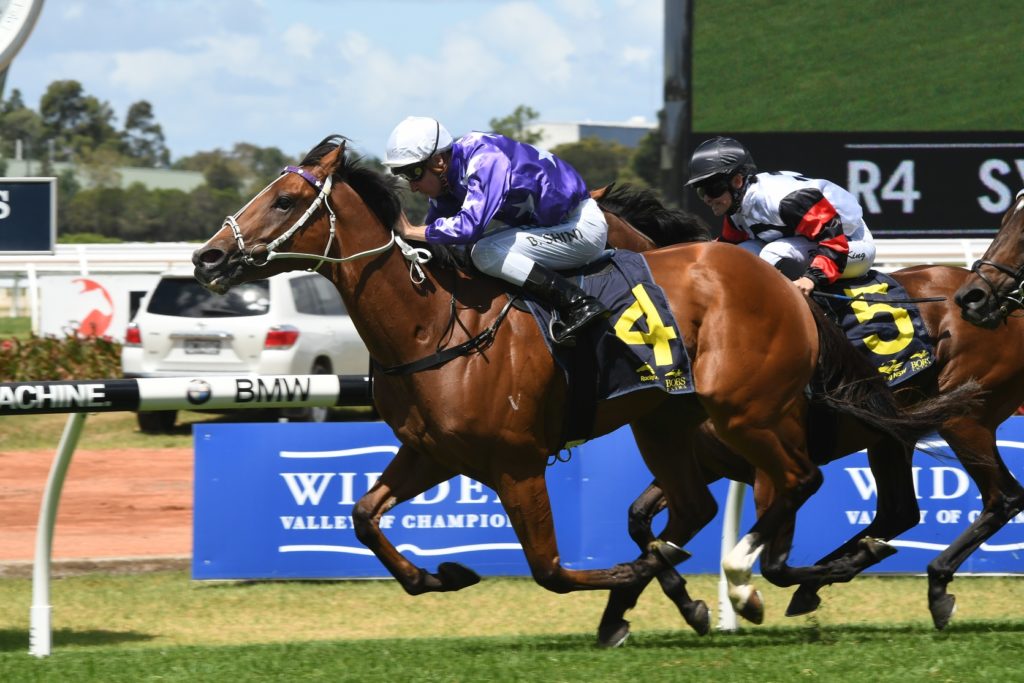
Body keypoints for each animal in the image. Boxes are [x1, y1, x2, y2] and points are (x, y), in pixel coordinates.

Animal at [190, 136, 973, 627]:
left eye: (284, 200)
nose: (208, 256)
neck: (432, 325)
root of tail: (786, 286)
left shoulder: (516, 462)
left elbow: (549, 566)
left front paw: (637, 583)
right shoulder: (432, 451)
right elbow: (361, 513)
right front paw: (434, 576)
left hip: (746, 410)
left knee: (797, 479)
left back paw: (754, 579)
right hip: (667, 421)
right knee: (718, 500)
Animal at [598, 184, 1024, 639]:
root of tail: (1002, 306)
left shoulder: (770, 466)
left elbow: (772, 563)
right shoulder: (704, 460)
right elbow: (641, 521)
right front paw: (637, 609)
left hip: (963, 418)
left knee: (1002, 497)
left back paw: (933, 582)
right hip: (892, 434)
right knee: (899, 511)